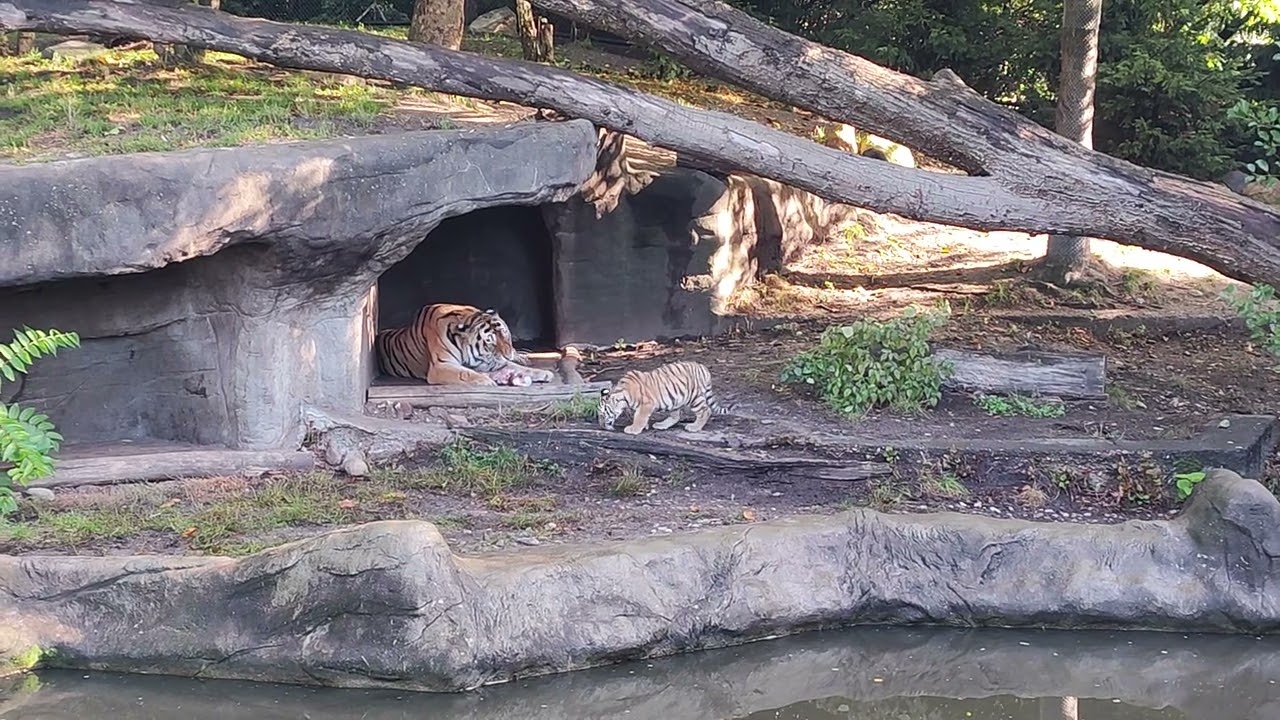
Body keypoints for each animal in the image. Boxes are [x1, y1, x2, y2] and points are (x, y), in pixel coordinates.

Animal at [375, 303, 555, 387]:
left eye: (505, 334)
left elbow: (518, 367)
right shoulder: (440, 366)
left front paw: (544, 373)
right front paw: (486, 380)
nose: (507, 355)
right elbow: (465, 373)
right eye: (490, 342)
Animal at [597, 360, 729, 435]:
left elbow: (639, 417)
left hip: (694, 397)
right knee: (676, 416)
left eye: (603, 414)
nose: (601, 426)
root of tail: (703, 367)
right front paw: (645, 426)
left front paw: (634, 429)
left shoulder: (647, 404)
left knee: (705, 411)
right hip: (676, 399)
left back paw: (694, 427)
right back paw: (661, 425)